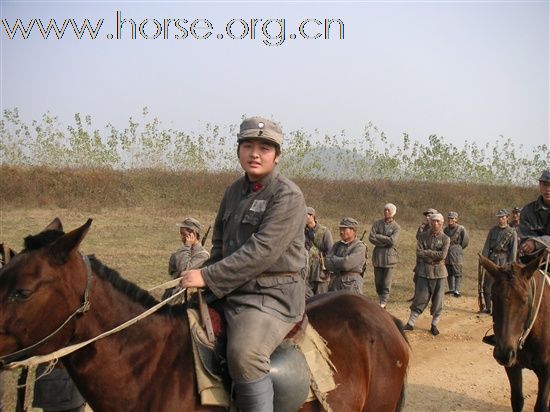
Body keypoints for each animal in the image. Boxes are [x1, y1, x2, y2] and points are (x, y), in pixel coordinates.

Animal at [480, 253, 548, 410]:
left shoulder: (547, 372)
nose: (503, 353)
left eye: (524, 300)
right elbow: (517, 400)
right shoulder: (513, 366)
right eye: (493, 297)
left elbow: (541, 406)